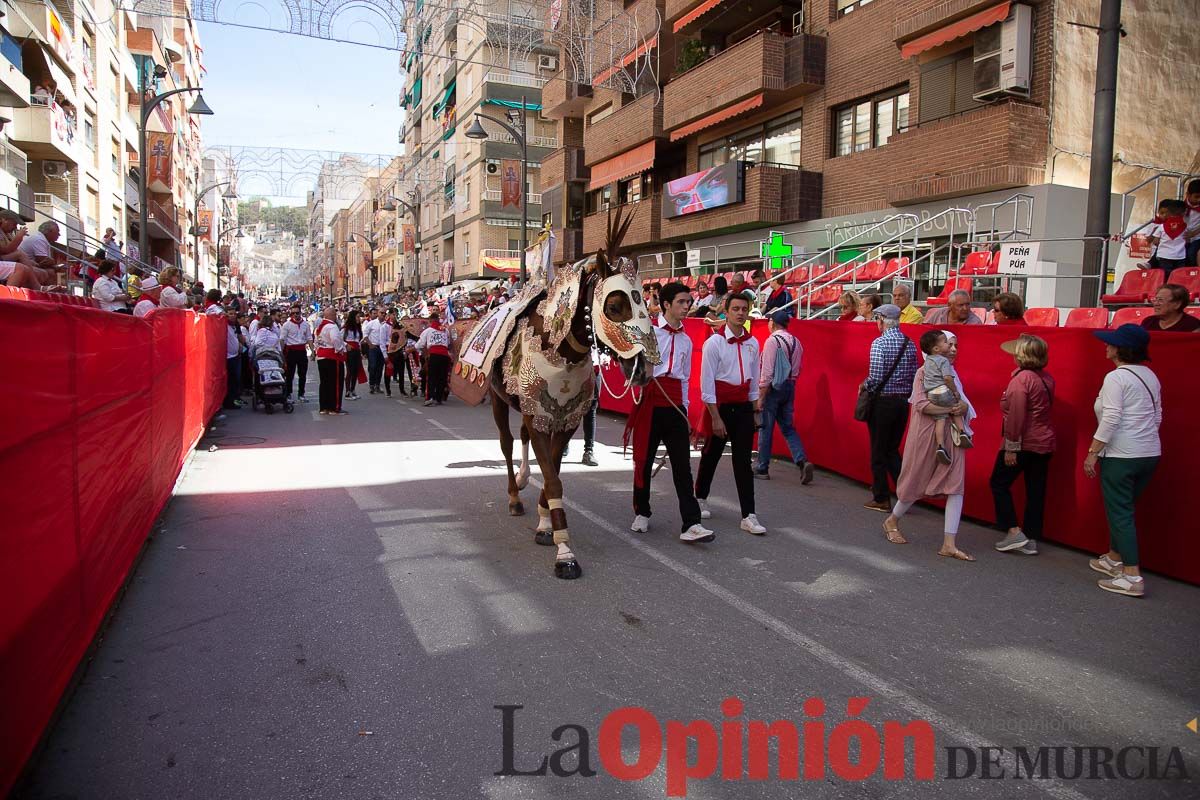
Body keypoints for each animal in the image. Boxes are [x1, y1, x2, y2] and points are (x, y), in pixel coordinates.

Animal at [451, 209, 662, 578]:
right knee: (507, 443)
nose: (643, 370)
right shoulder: (538, 414)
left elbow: (554, 471)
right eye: (615, 304)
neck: (558, 348)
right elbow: (552, 480)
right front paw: (565, 552)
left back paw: (525, 481)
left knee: (521, 439)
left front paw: (546, 524)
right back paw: (514, 496)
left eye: (645, 303)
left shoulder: (565, 418)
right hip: (498, 401)